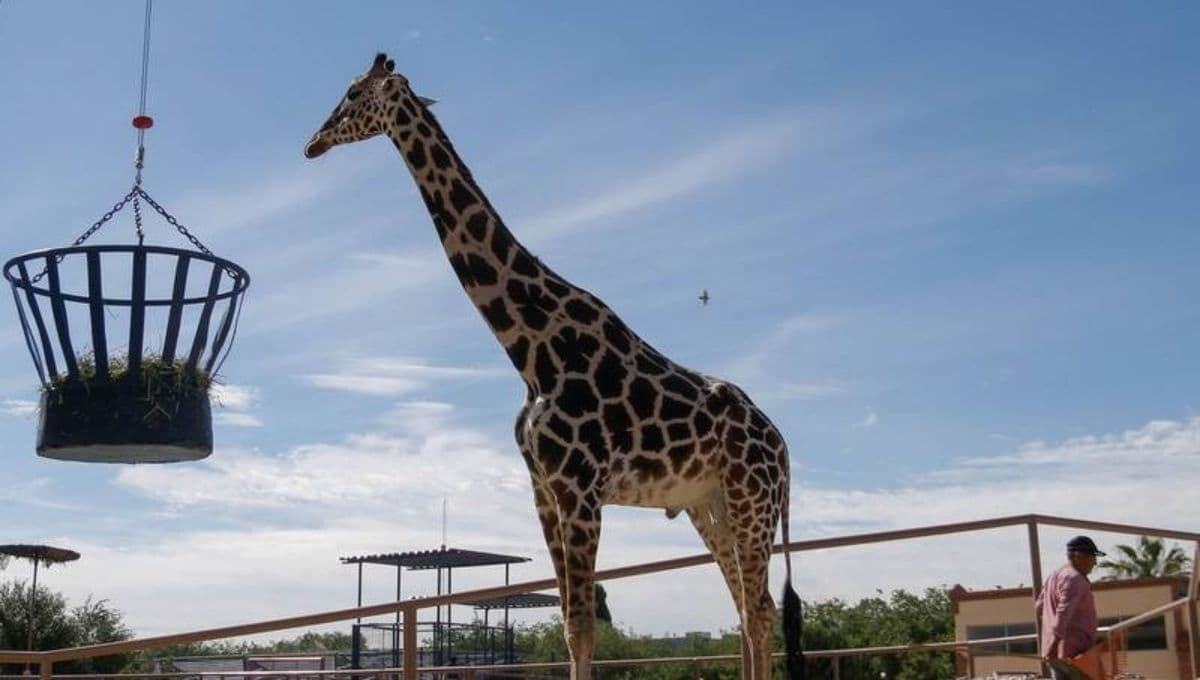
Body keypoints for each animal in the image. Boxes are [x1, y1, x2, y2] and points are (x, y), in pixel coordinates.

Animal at [305, 54, 805, 680]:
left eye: (352, 94)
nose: (313, 143)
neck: (531, 350)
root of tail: (783, 448)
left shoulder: (580, 489)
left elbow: (586, 629)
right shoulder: (544, 490)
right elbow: (570, 625)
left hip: (750, 501)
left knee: (759, 611)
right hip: (707, 505)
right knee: (744, 607)